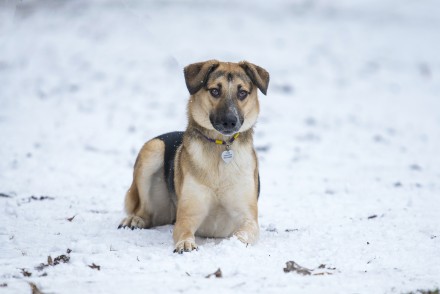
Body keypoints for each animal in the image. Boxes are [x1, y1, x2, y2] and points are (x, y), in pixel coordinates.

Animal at [120, 59, 270, 253]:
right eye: (215, 91)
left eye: (242, 93)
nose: (230, 121)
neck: (221, 147)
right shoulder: (187, 215)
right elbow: (184, 230)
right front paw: (185, 243)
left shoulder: (248, 217)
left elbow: (243, 233)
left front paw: (235, 243)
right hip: (153, 149)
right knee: (145, 210)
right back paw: (135, 219)